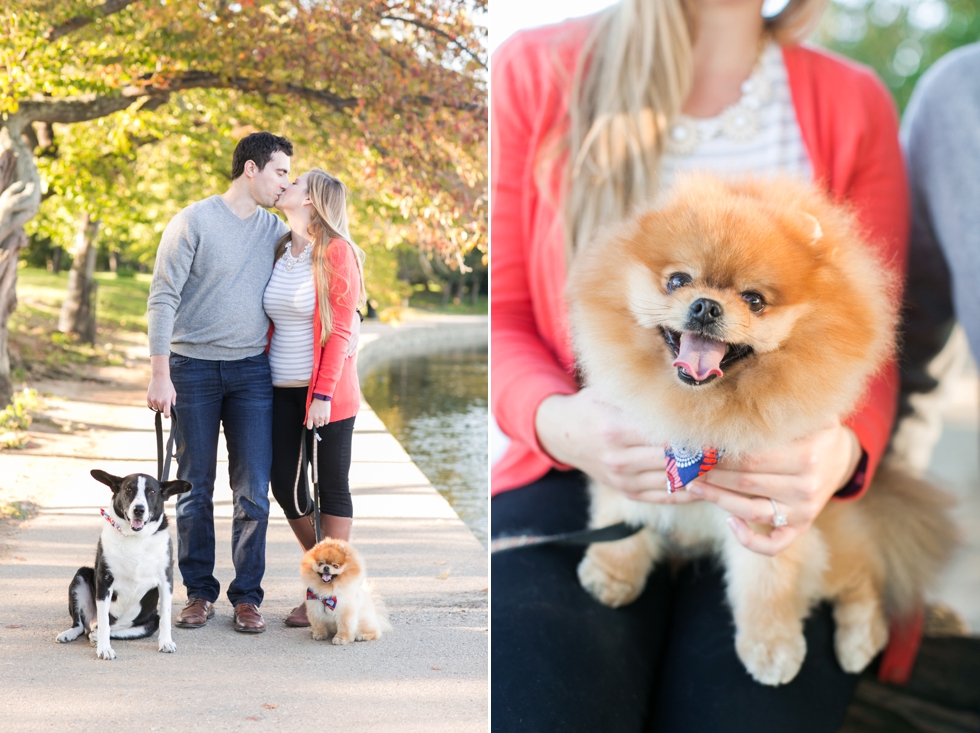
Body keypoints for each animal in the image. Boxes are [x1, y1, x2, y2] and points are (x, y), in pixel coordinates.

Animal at [56, 472, 191, 660]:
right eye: (128, 489)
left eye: (151, 491)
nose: (139, 509)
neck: (135, 538)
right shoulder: (104, 581)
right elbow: (104, 622)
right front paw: (105, 649)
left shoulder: (166, 580)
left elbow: (166, 615)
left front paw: (166, 642)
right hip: (81, 577)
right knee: (83, 625)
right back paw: (72, 634)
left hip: (147, 624)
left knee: (111, 630)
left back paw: (96, 636)